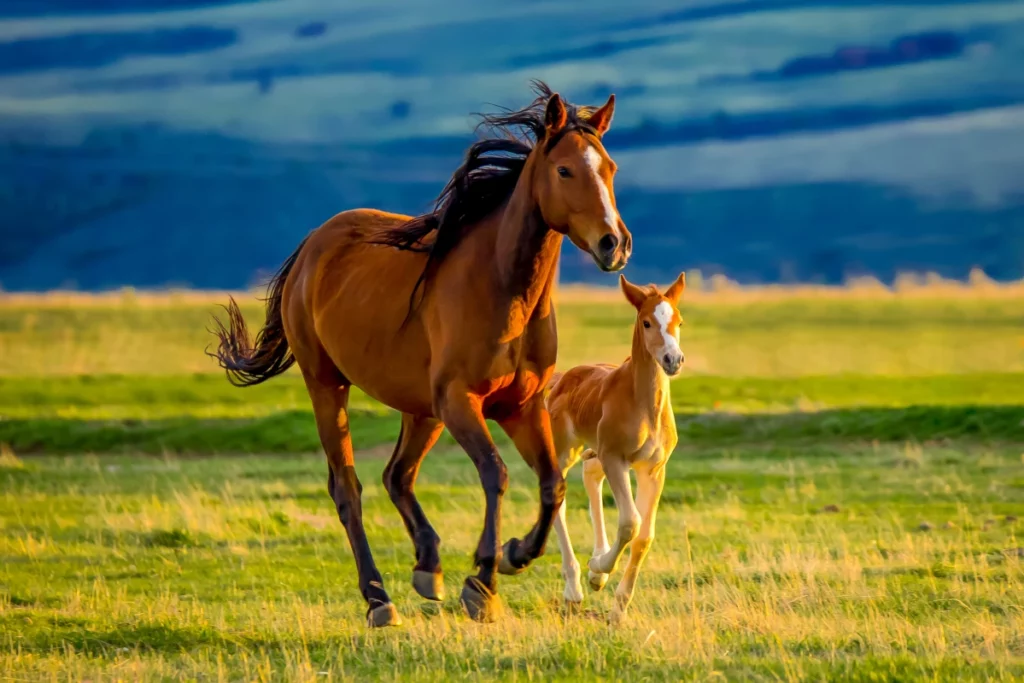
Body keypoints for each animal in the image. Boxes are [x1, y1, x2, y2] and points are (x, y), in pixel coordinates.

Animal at [210, 82, 630, 626]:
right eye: (564, 170)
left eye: (610, 168)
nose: (614, 244)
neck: (503, 290)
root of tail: (312, 246)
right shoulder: (461, 402)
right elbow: (495, 474)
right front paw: (482, 583)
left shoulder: (521, 407)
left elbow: (552, 485)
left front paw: (514, 554)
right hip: (329, 386)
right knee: (348, 488)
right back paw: (378, 598)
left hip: (421, 410)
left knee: (397, 475)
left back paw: (428, 567)